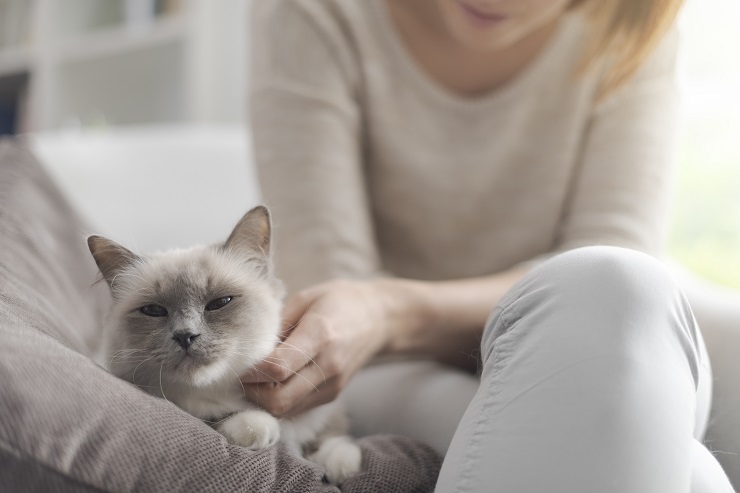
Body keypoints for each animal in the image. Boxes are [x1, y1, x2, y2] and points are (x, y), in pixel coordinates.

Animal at [88, 205, 362, 484]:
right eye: (154, 311)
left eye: (219, 303)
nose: (186, 336)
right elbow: (219, 419)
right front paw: (258, 426)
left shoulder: (323, 410)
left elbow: (331, 434)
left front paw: (342, 466)